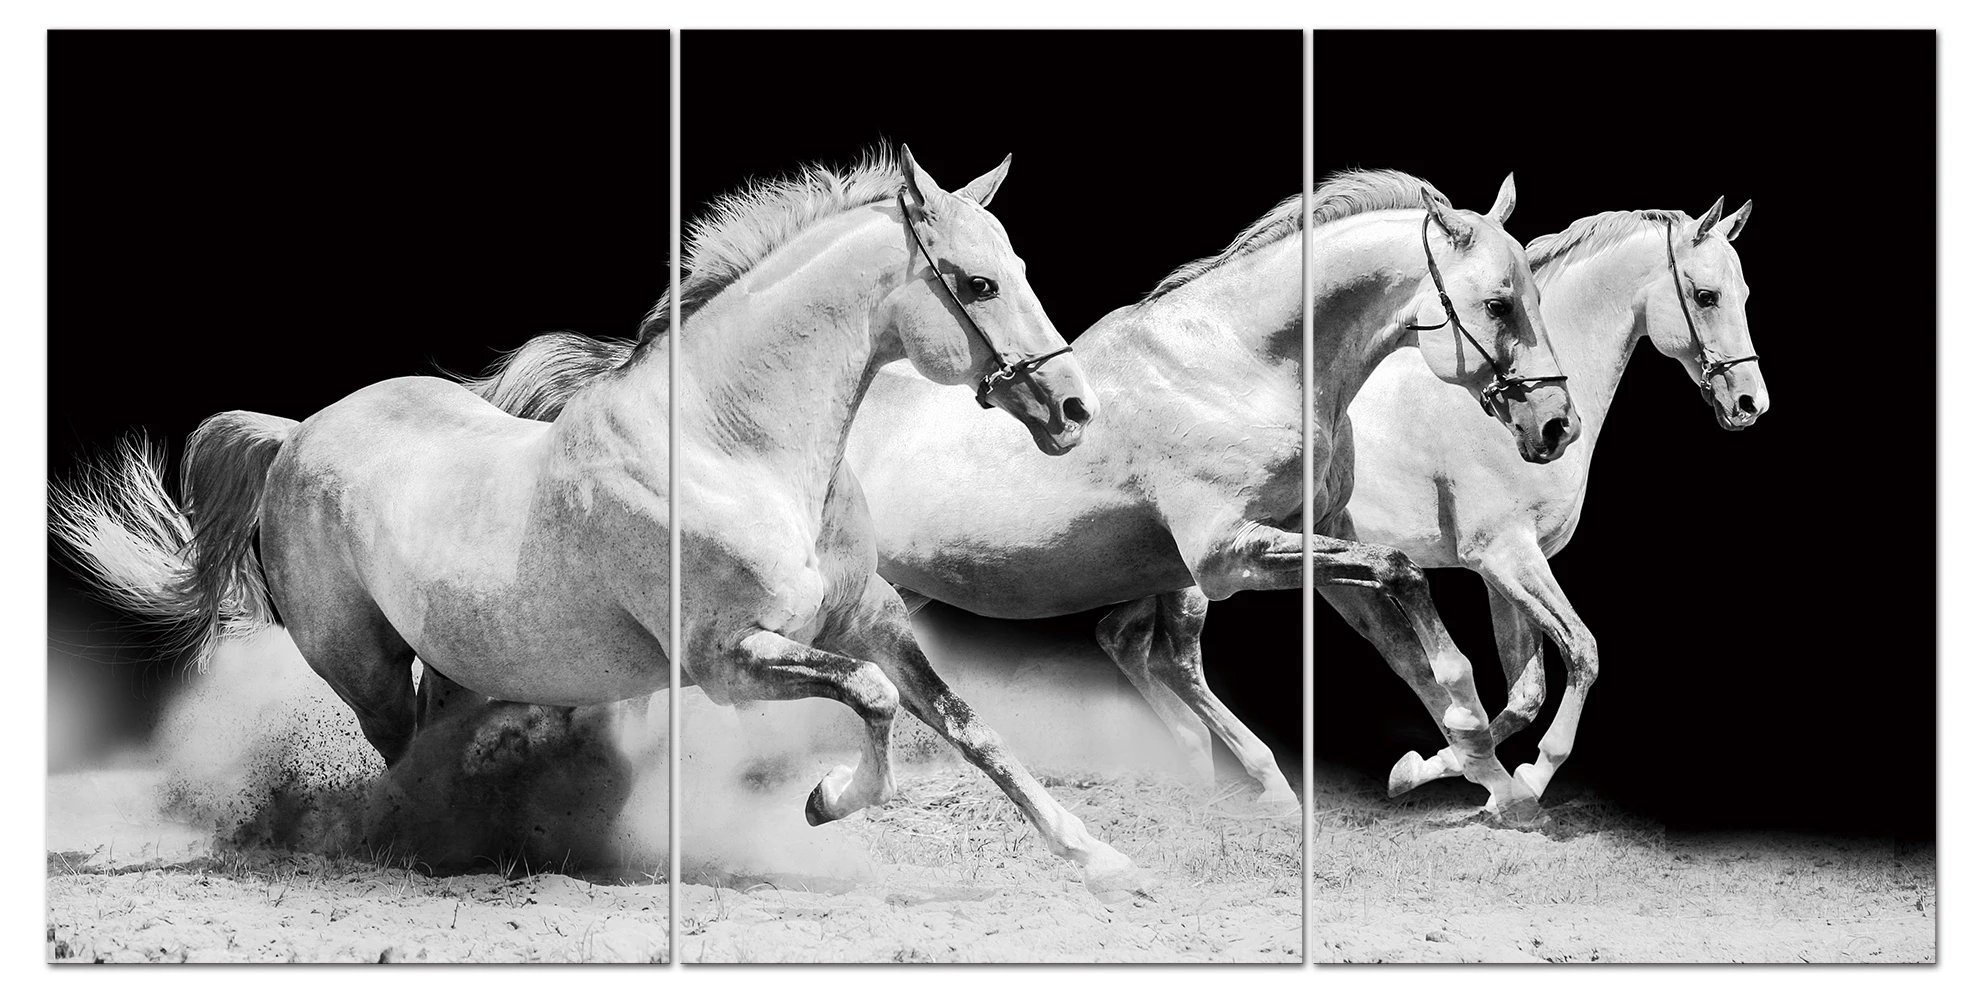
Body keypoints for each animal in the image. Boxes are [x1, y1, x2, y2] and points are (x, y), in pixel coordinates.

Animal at [50, 146, 1163, 897]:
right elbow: (878, 698)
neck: (733, 446)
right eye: (977, 281)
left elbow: (970, 725)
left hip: (457, 657)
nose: (1073, 410)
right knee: (400, 758)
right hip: (361, 664)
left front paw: (1103, 858)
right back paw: (431, 844)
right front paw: (823, 803)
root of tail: (297, 434)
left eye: (1020, 266)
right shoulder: (728, 658)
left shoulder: (868, 618)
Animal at [466, 170, 1584, 821]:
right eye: (1498, 300)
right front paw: (1484, 766)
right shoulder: (1228, 554)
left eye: (1535, 289)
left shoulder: (1289, 549)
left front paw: (1481, 775)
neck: (1245, 362)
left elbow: (1431, 640)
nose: (1553, 425)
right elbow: (1414, 599)